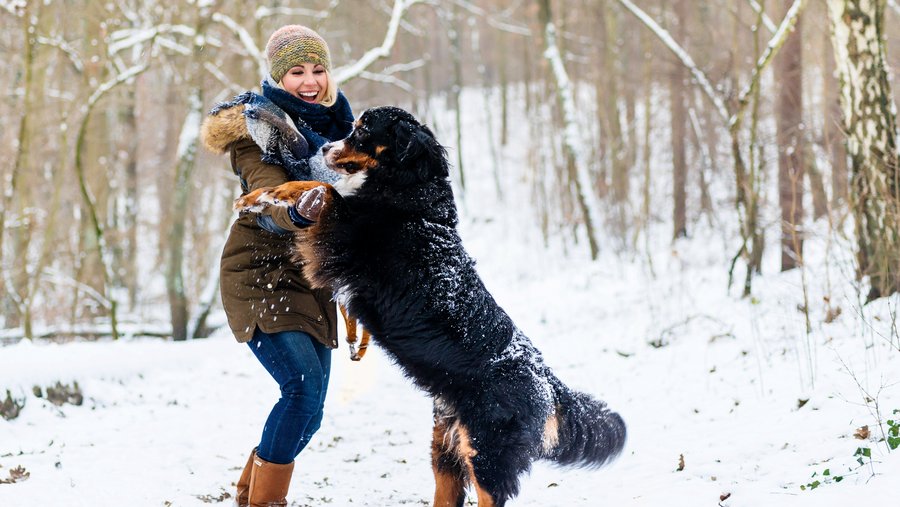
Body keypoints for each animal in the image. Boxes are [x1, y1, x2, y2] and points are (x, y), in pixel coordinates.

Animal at [234, 105, 624, 506]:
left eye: (362, 131)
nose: (325, 147)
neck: (407, 191)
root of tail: (546, 379)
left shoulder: (344, 232)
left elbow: (319, 189)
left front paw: (262, 195)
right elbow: (314, 187)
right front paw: (258, 196)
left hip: (486, 456)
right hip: (446, 452)